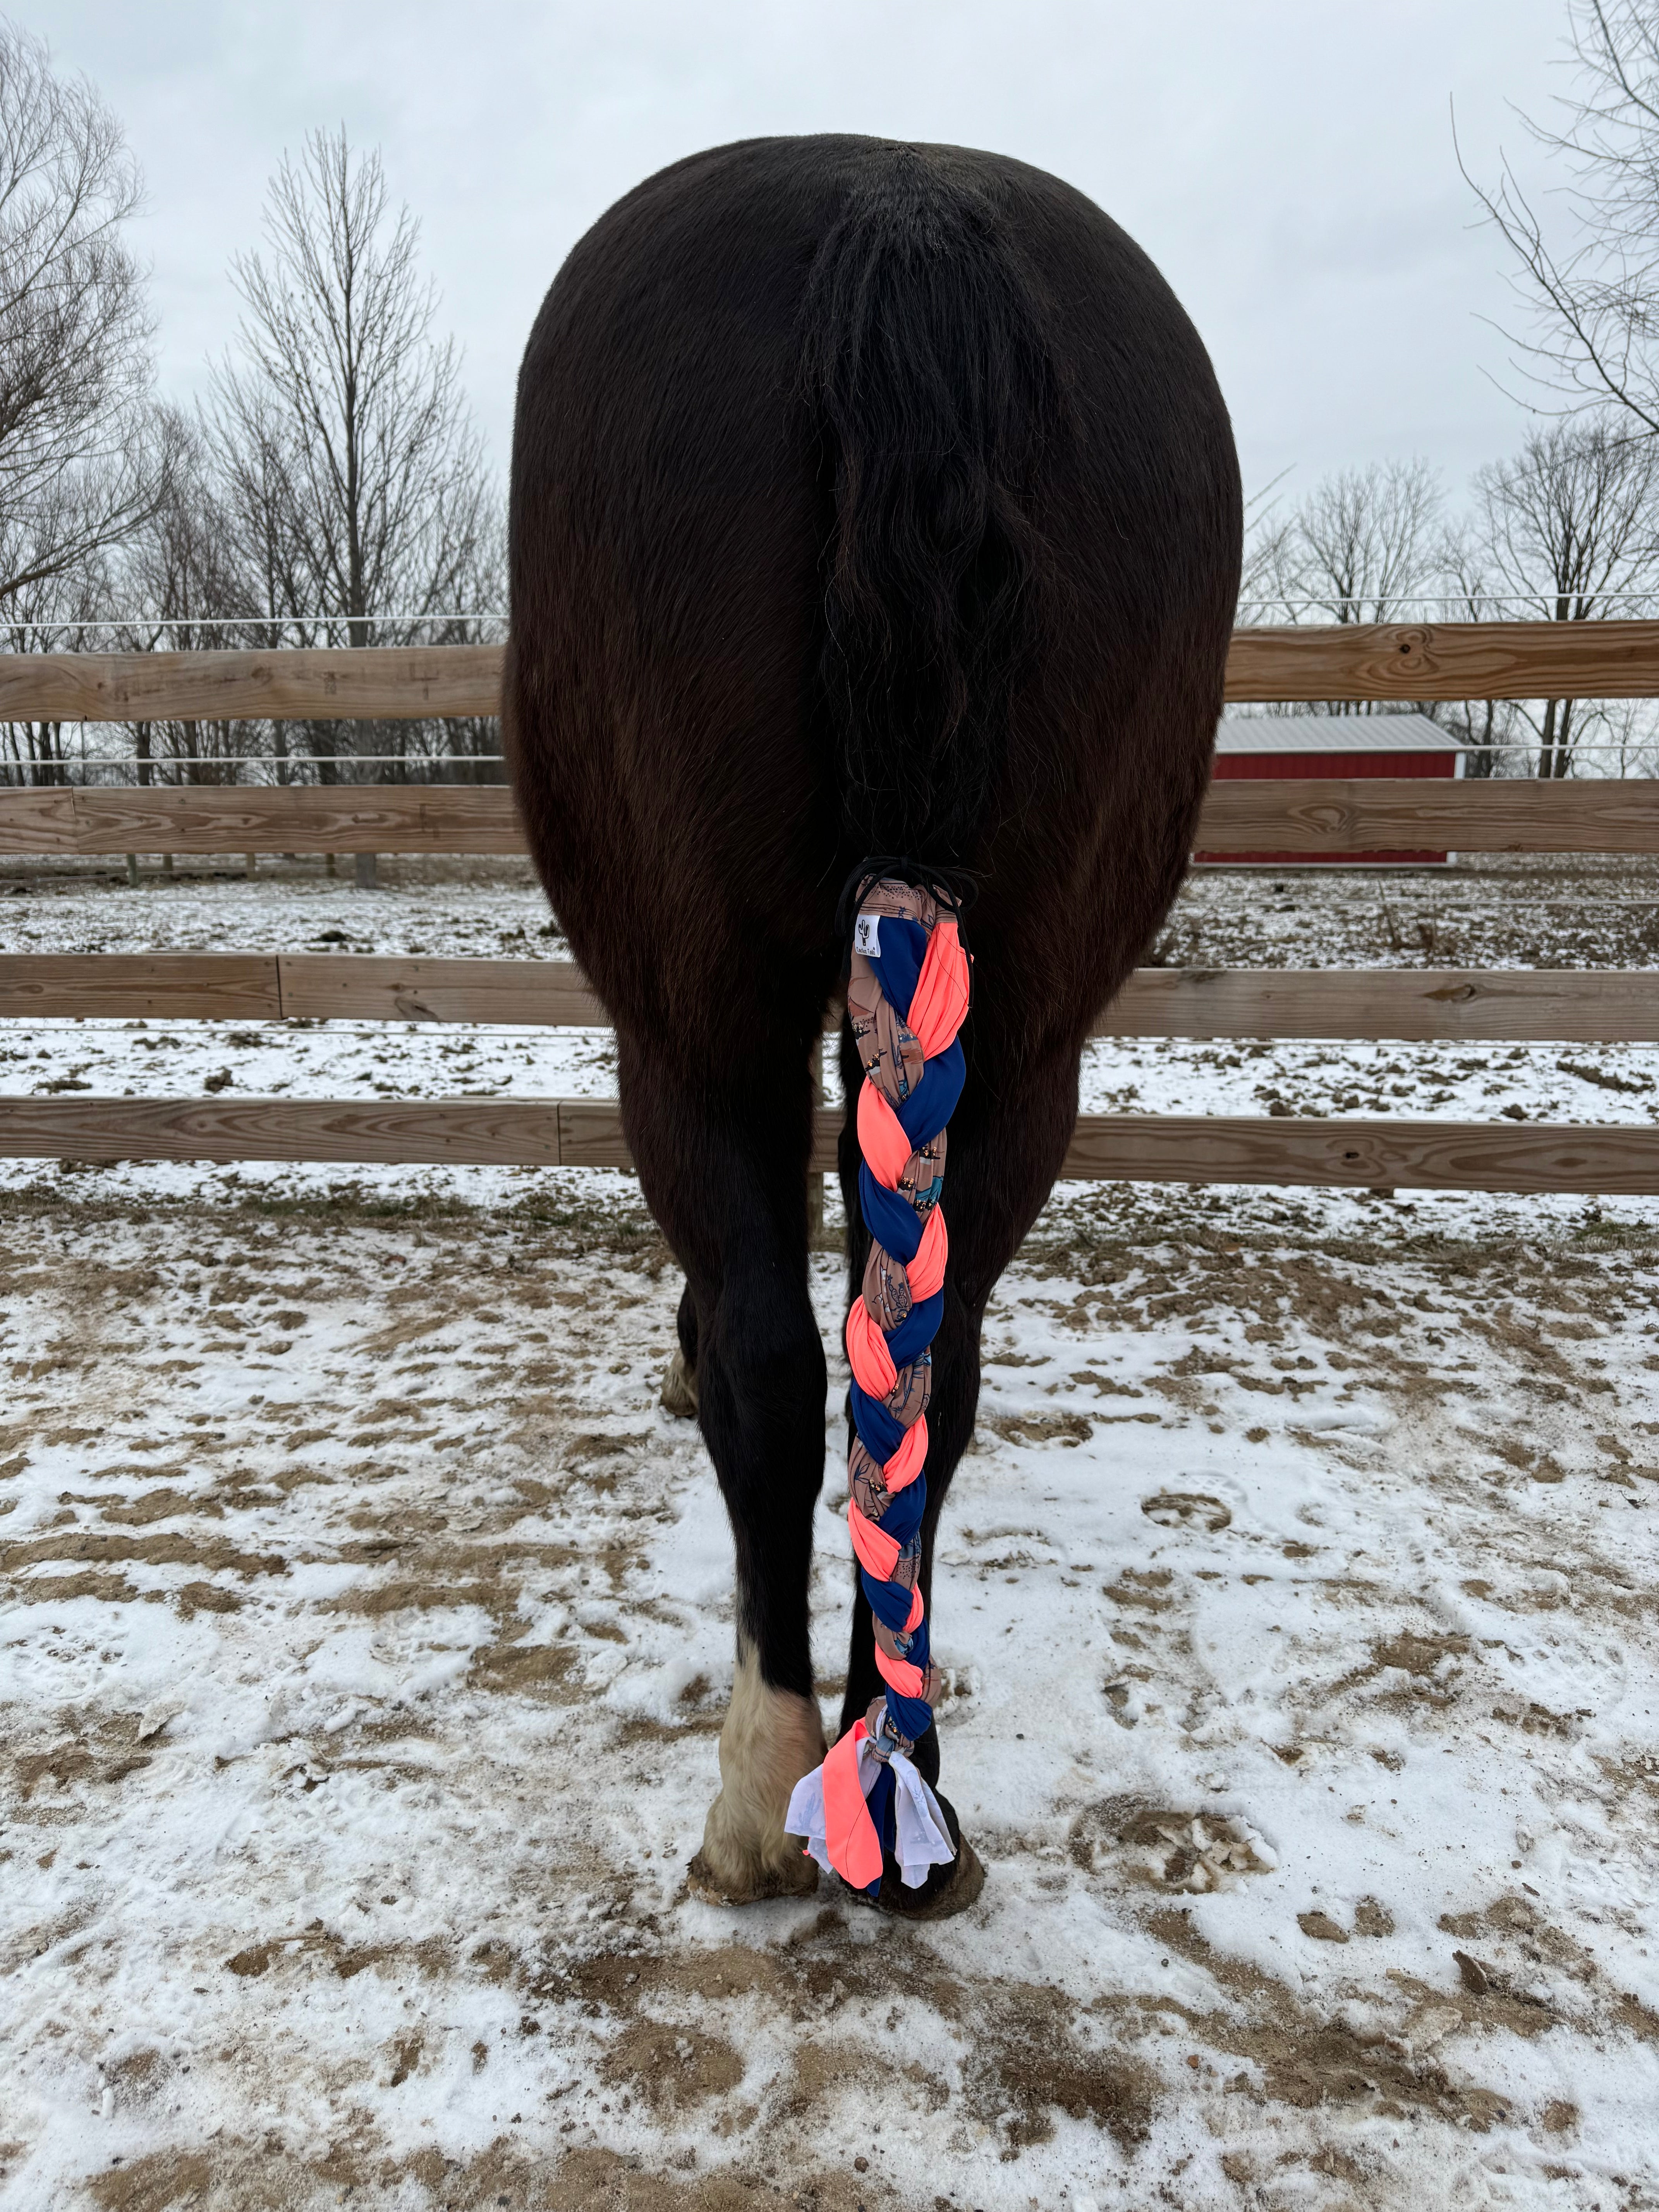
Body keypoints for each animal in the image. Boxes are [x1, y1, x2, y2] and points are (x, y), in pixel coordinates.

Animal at [513, 138, 1238, 1911]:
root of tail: (898, 208)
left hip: (691, 1026)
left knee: (781, 1363)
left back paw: (758, 1789)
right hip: (1030, 1044)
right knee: (931, 1366)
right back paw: (897, 1778)